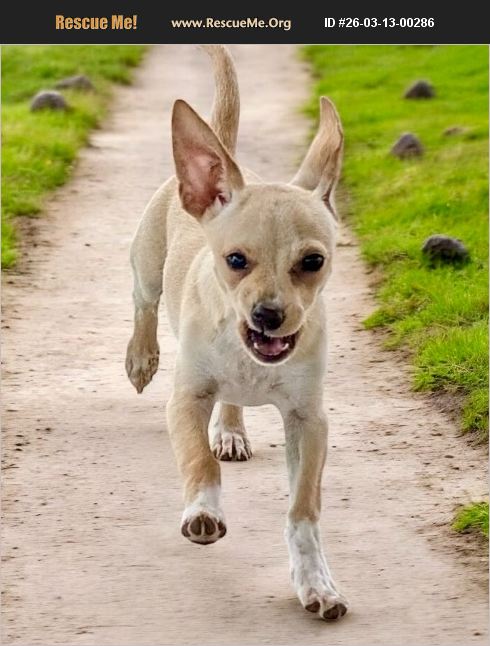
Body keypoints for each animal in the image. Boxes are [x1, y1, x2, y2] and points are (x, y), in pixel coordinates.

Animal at [126, 45, 348, 622]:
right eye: (235, 261)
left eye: (313, 262)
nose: (269, 315)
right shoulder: (186, 399)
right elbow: (197, 460)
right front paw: (203, 511)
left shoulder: (309, 422)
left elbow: (303, 508)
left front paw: (316, 583)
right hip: (147, 266)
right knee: (143, 304)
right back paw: (141, 358)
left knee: (231, 404)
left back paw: (229, 429)